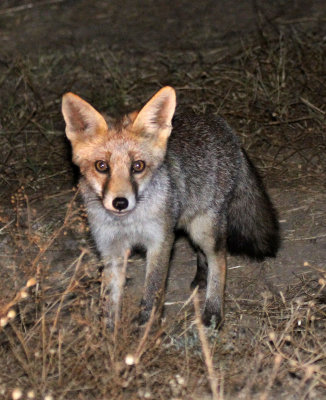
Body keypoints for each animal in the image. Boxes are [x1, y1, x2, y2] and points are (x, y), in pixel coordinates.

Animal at [61, 86, 280, 328]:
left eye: (138, 166)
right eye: (101, 166)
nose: (120, 202)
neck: (128, 223)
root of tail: (220, 123)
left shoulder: (160, 241)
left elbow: (152, 292)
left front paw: (146, 330)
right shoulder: (110, 248)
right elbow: (109, 300)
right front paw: (108, 333)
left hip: (204, 228)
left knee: (219, 259)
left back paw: (213, 310)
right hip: (189, 222)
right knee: (201, 254)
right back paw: (201, 278)